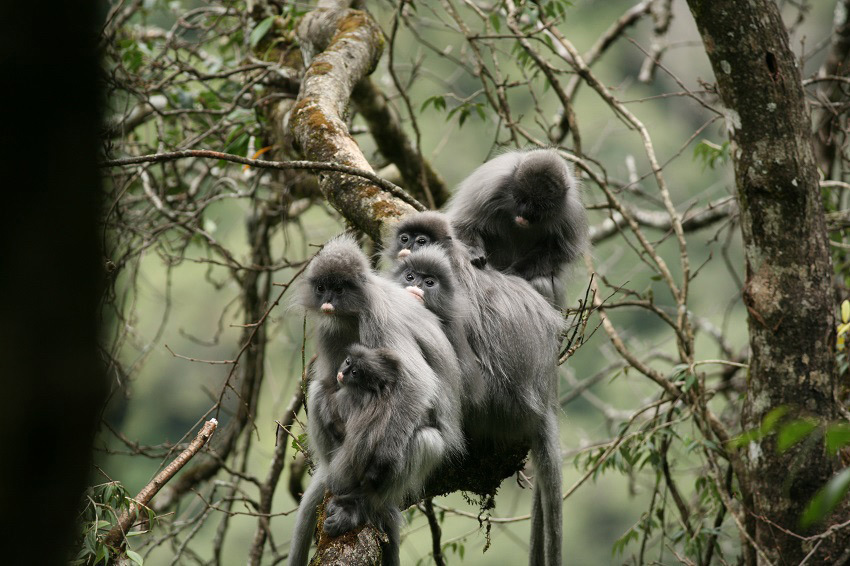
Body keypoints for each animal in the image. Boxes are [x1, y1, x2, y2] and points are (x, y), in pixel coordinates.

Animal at [290, 235, 464, 566]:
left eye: (339, 289)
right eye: (322, 288)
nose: (328, 300)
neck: (353, 311)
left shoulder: (379, 318)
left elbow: (417, 383)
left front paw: (380, 461)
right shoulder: (329, 328)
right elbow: (329, 383)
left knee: (426, 438)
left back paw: (362, 504)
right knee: (318, 390)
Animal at [440, 146, 588, 306]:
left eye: (537, 207)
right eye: (521, 199)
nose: (524, 214)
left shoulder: (570, 211)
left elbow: (560, 252)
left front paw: (516, 271)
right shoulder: (490, 185)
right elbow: (462, 224)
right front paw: (474, 251)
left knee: (541, 281)